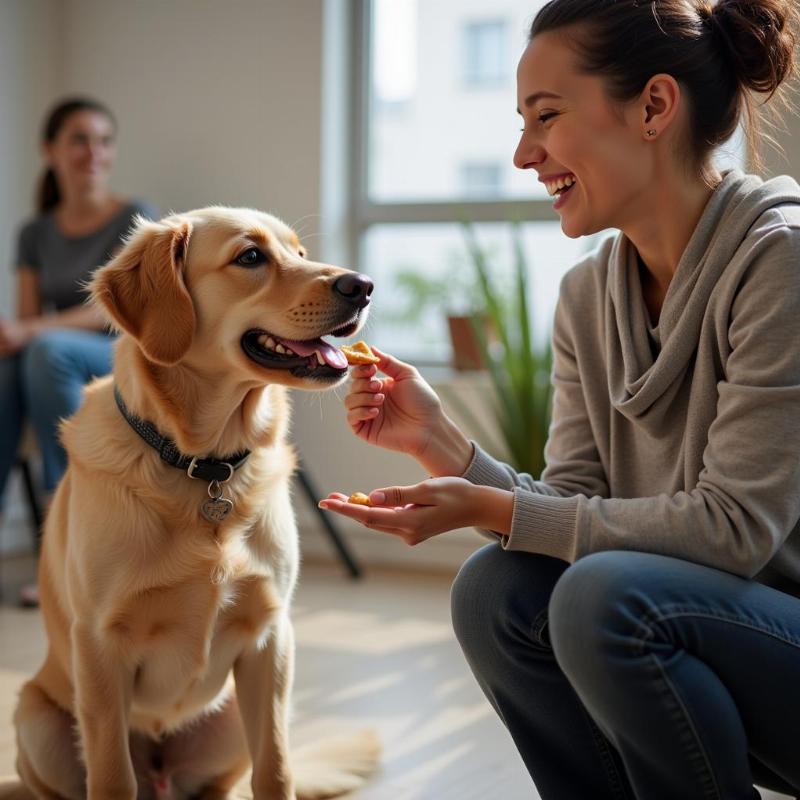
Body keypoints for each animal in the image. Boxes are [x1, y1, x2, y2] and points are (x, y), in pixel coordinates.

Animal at [1, 209, 382, 796]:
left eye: (299, 253)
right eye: (251, 257)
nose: (362, 286)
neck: (204, 465)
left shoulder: (270, 640)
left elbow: (276, 770)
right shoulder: (99, 647)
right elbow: (112, 777)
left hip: (229, 719)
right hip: (37, 718)